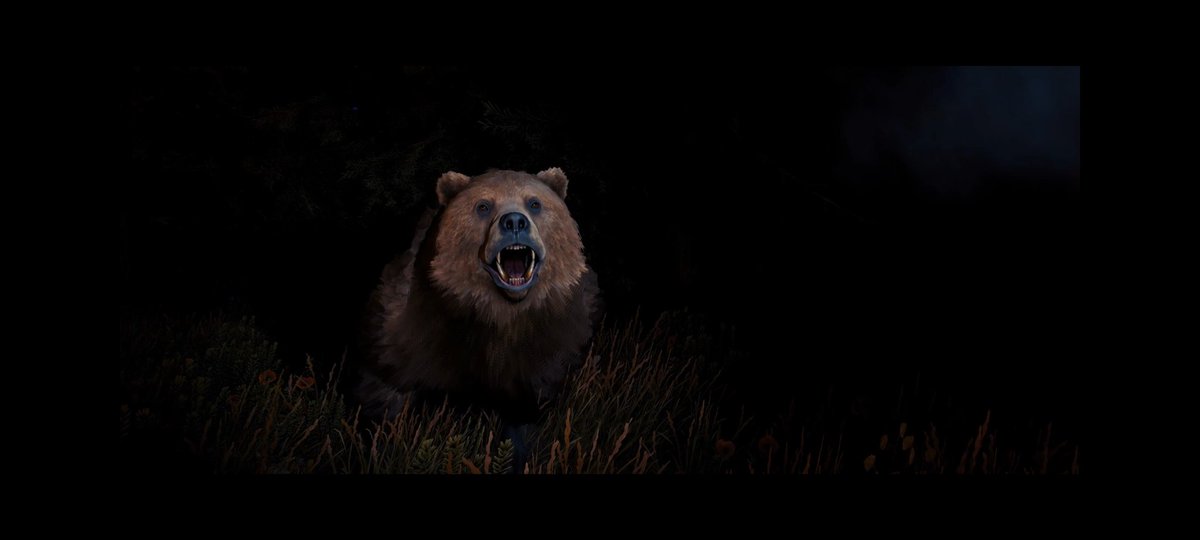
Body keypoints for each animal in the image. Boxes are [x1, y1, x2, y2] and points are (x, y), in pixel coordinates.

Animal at [355, 167, 601, 466]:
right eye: (483, 206)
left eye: (534, 203)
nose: (515, 221)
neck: (498, 316)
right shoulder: (410, 332)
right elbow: (386, 386)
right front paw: (382, 442)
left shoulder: (547, 348)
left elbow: (525, 415)